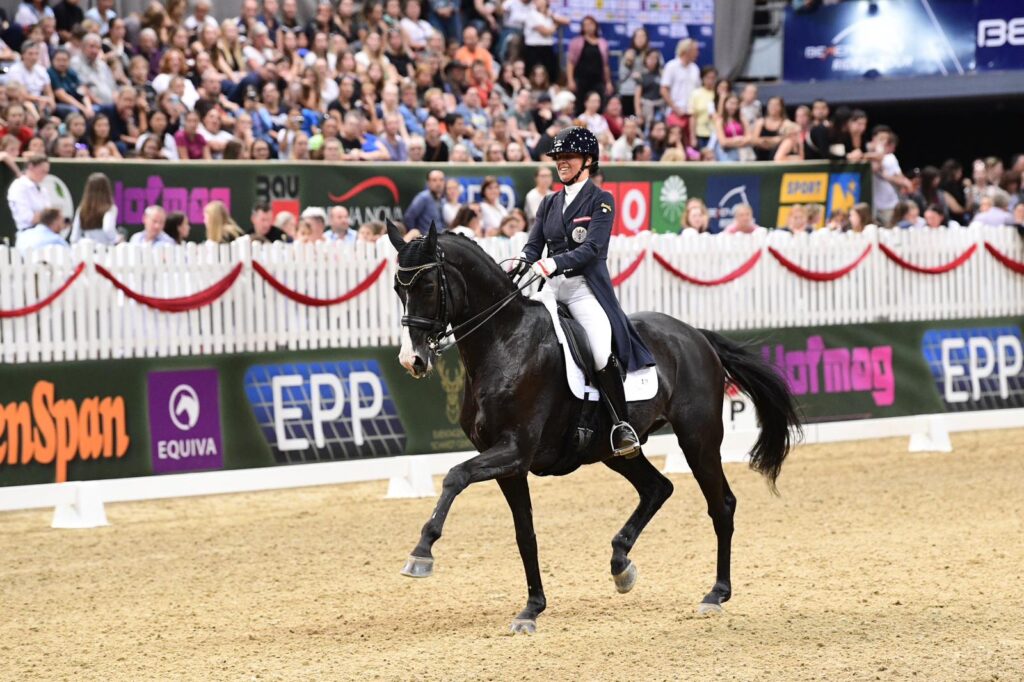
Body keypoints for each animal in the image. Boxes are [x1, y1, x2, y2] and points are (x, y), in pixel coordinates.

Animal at [385, 223, 798, 630]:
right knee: (657, 488)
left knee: (721, 505)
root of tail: (695, 334)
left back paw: (716, 593)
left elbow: (455, 475)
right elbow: (525, 534)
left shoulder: (514, 450)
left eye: (427, 287)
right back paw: (621, 565)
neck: (504, 341)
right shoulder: (509, 464)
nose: (412, 360)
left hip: (698, 439)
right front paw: (532, 608)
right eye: (397, 288)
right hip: (613, 450)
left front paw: (421, 554)